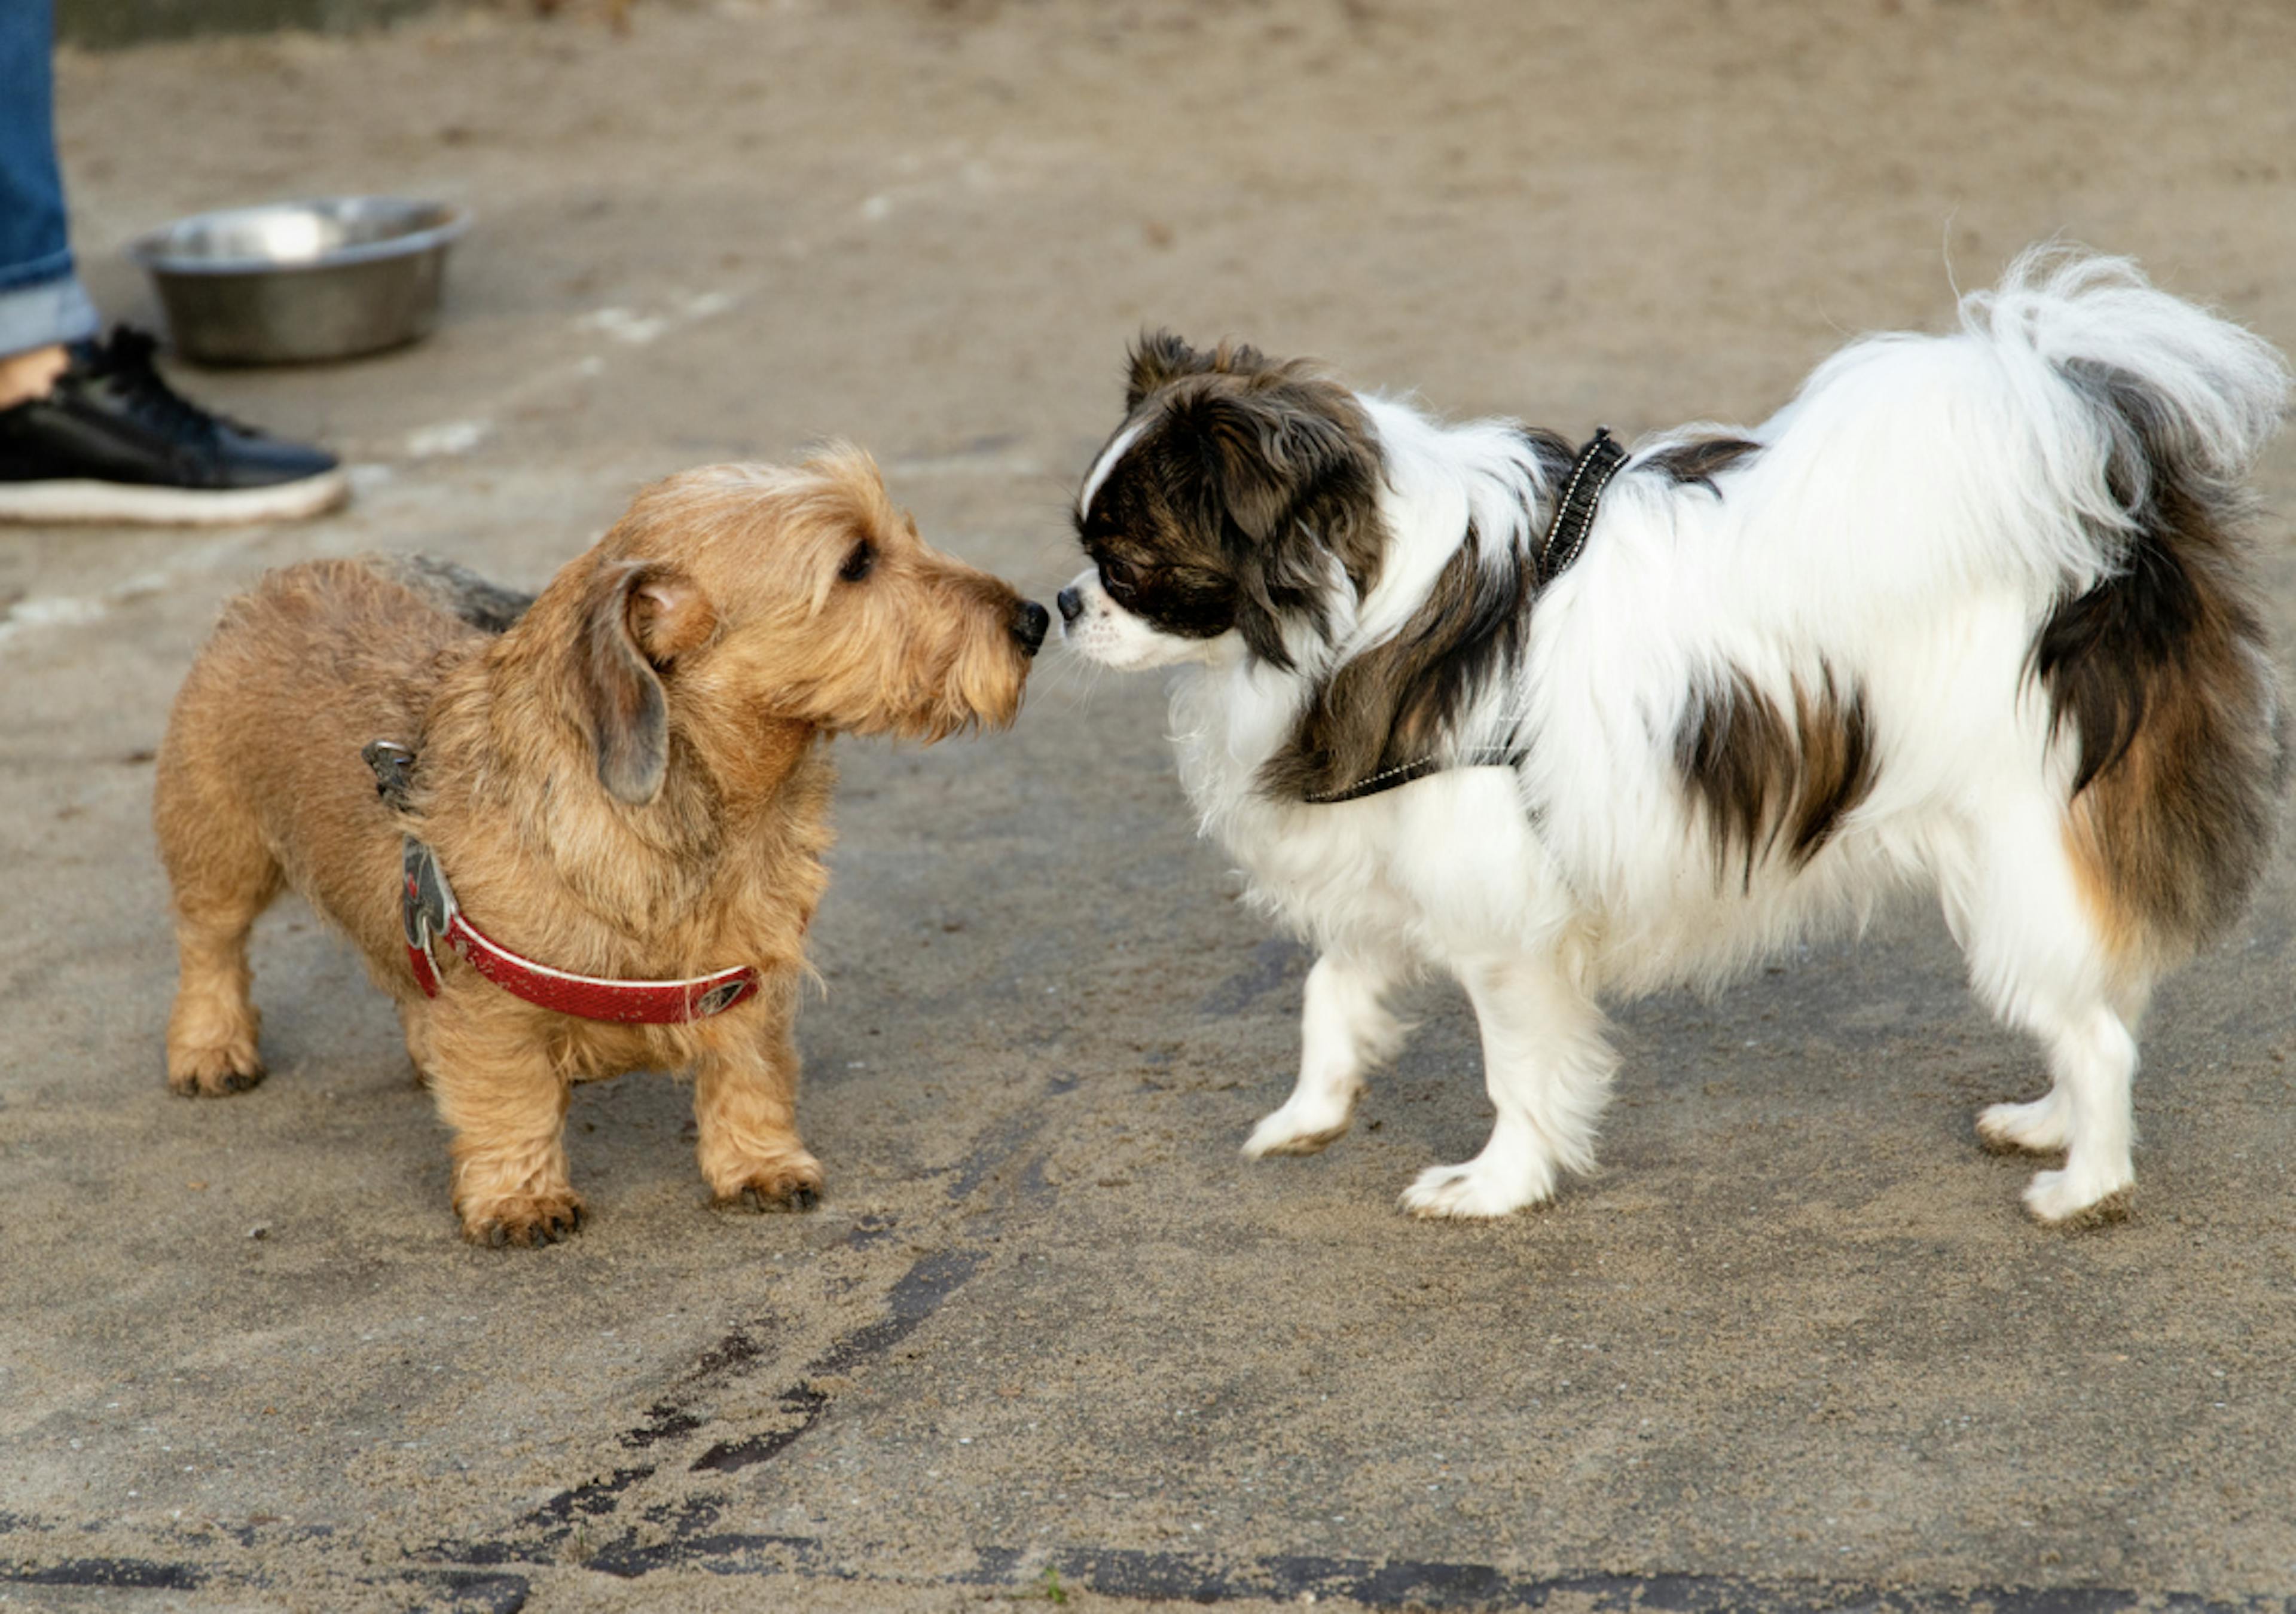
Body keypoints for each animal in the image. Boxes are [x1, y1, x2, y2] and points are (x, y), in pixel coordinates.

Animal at [145, 452, 1042, 1249]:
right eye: (856, 562)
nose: (1033, 620)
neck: (713, 812)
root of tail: (283, 578)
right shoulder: (491, 1003)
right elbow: (509, 1099)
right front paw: (518, 1197)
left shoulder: (747, 968)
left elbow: (749, 1072)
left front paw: (760, 1163)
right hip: (221, 846)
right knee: (210, 944)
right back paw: (210, 1046)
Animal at [1065, 256, 2286, 1221]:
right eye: (1087, 550)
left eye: (1130, 561)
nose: (1067, 606)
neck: (1372, 605)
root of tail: (2120, 536)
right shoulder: (1400, 859)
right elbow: (1331, 993)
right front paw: (1309, 1115)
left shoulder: (1503, 922)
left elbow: (1517, 1073)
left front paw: (1494, 1187)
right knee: (2101, 995)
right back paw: (2047, 1122)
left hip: (2013, 852)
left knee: (2101, 1031)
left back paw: (2085, 1186)